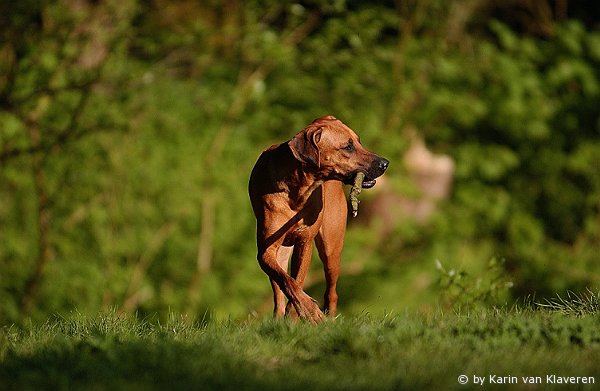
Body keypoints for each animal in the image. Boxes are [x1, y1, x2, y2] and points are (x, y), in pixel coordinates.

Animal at [248, 115, 390, 324]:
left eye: (358, 141)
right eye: (348, 147)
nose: (385, 163)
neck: (296, 189)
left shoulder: (304, 241)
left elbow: (297, 280)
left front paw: (299, 315)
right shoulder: (265, 251)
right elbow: (287, 281)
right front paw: (306, 310)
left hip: (332, 249)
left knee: (332, 291)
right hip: (283, 252)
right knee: (278, 289)